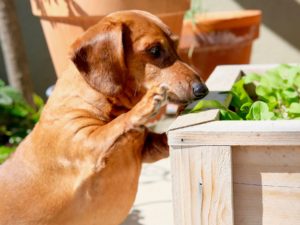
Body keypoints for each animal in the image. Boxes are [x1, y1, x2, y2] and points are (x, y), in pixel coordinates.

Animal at [0, 10, 206, 225]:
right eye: (155, 50)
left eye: (176, 45)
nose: (203, 90)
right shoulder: (89, 143)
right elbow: (117, 124)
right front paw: (144, 106)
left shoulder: (148, 151)